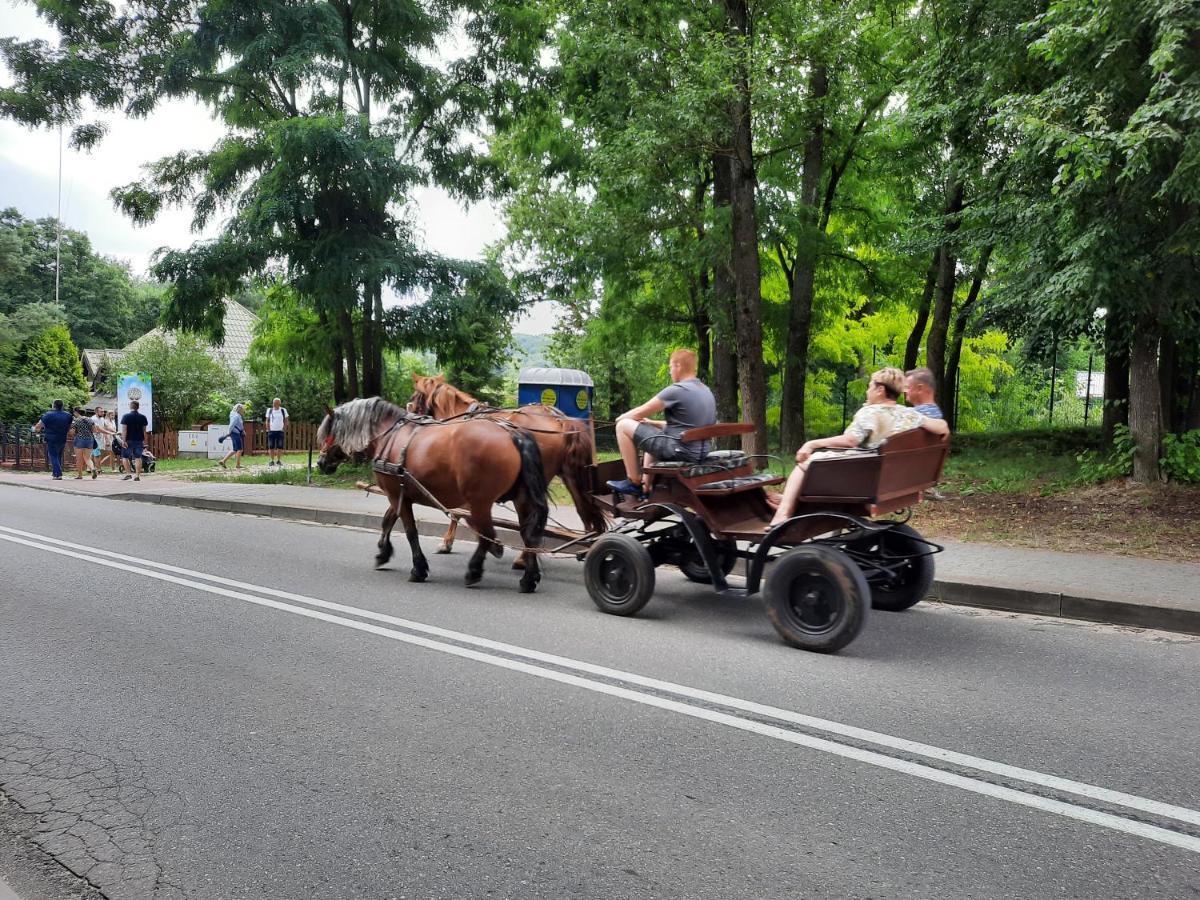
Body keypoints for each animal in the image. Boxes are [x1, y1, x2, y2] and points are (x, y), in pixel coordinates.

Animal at [314, 398, 549, 595]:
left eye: (327, 432)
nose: (320, 463)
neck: (388, 435)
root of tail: (512, 434)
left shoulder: (395, 494)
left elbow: (410, 531)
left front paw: (418, 568)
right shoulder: (399, 493)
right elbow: (387, 521)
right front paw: (383, 553)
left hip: (479, 502)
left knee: (486, 534)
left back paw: (475, 570)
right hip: (520, 500)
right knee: (527, 534)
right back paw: (528, 578)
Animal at [408, 374, 609, 556]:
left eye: (414, 398)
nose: (410, 415)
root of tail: (559, 420)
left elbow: (458, 512)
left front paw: (448, 542)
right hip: (570, 476)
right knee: (584, 513)